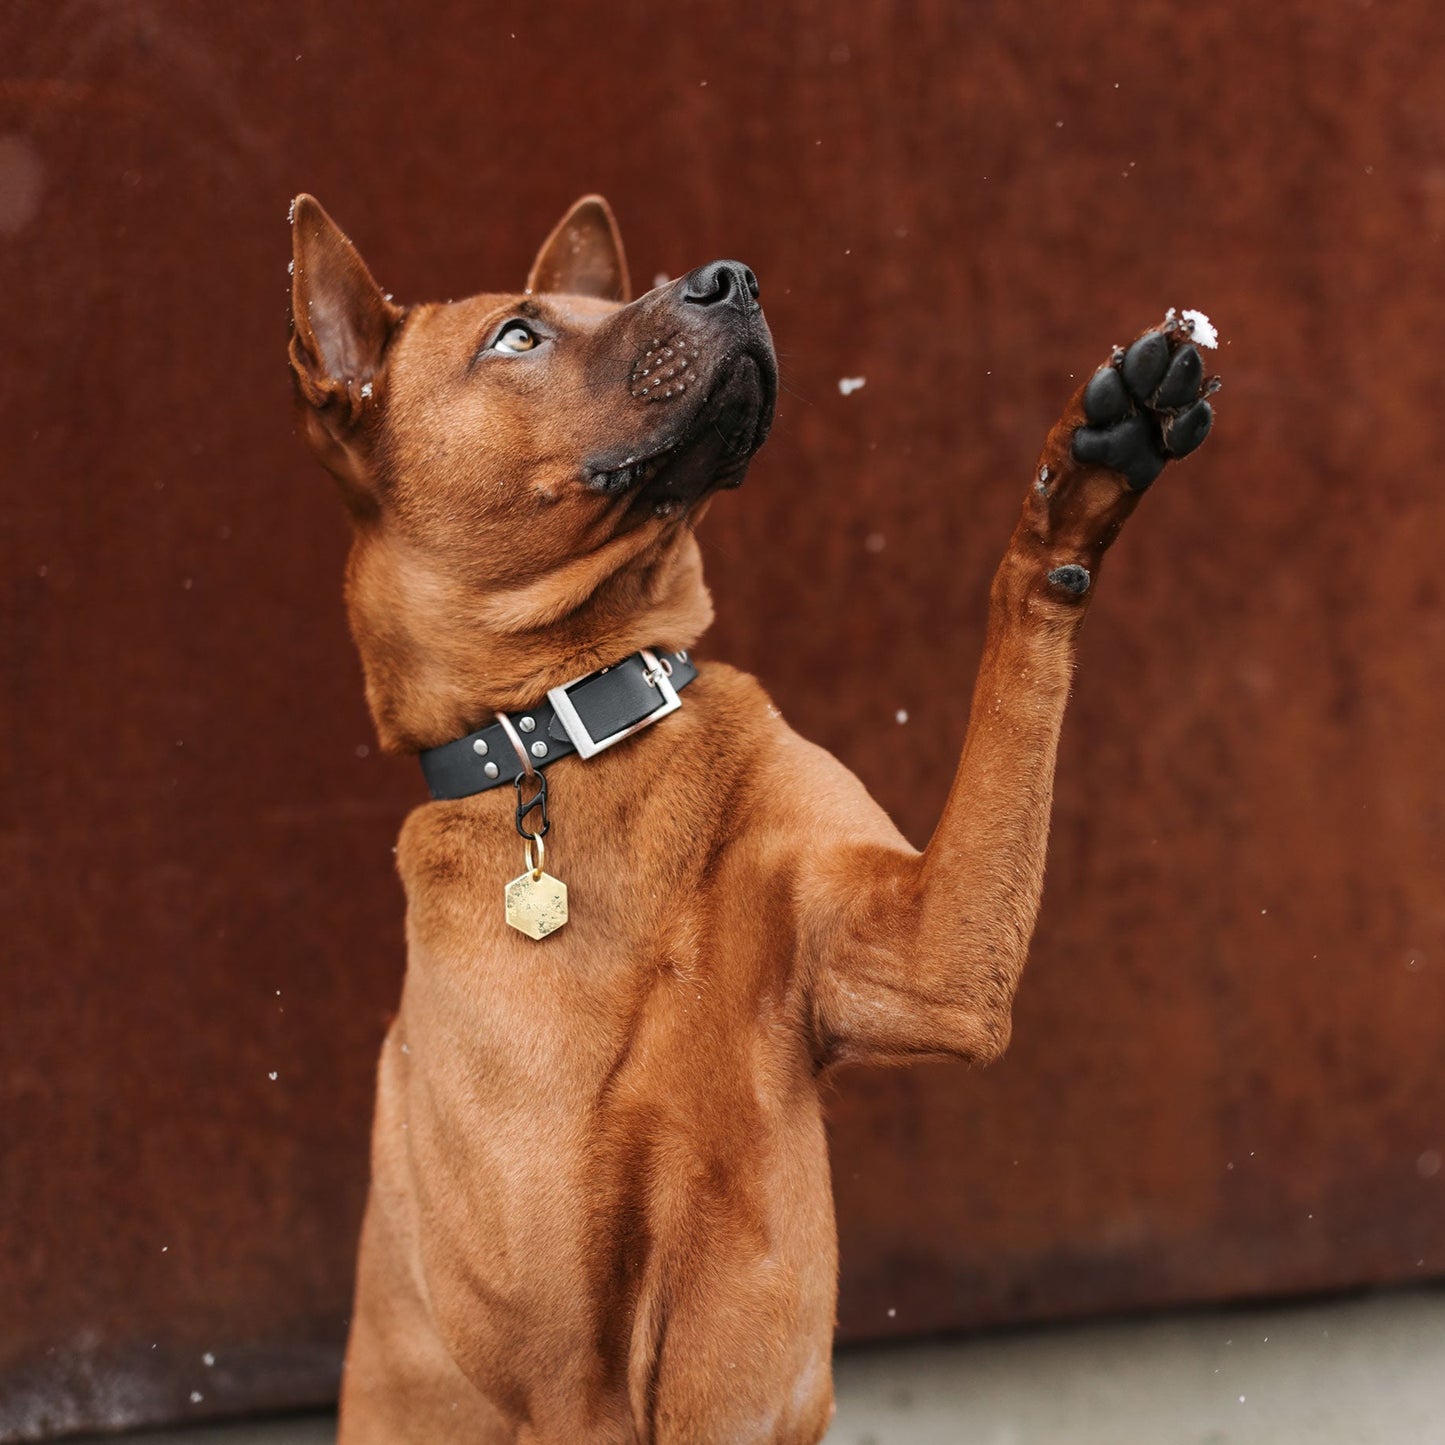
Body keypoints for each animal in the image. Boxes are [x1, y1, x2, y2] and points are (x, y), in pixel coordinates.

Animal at [287, 195, 1213, 1445]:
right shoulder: (571, 1385)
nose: (732, 277)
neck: (584, 736)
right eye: (517, 336)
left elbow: (1013, 658)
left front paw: (1082, 478)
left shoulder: (930, 960)